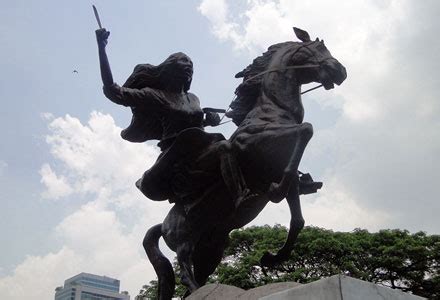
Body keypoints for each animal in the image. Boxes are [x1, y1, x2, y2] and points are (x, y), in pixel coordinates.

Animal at [144, 27, 348, 298]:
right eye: (319, 48)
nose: (341, 71)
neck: (273, 110)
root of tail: (163, 224)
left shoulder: (286, 176)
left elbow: (297, 220)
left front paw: (271, 258)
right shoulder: (251, 143)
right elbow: (306, 129)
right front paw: (272, 192)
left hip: (212, 247)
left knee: (197, 273)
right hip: (184, 238)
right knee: (184, 266)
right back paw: (200, 288)